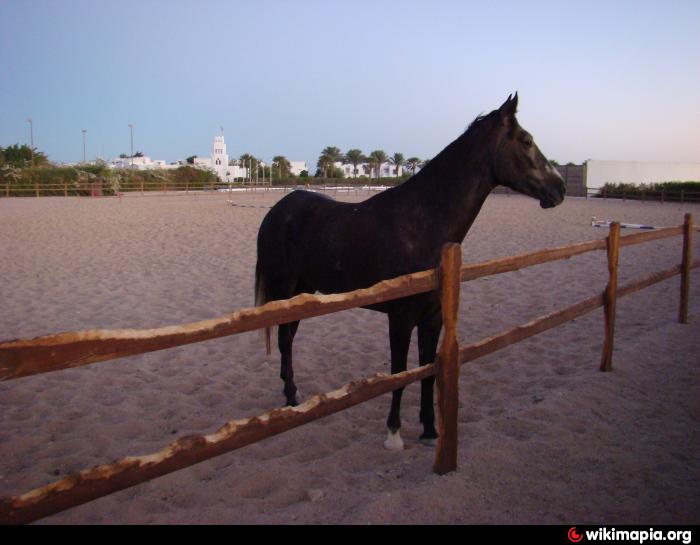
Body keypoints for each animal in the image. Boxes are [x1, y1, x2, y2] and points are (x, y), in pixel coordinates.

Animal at [254, 94, 568, 450]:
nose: (559, 188)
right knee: (284, 339)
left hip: (303, 291)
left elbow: (428, 371)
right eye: (526, 140)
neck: (422, 223)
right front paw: (394, 432)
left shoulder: (433, 318)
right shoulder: (401, 318)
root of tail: (278, 211)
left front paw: (430, 429)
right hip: (285, 290)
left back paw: (293, 397)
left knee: (288, 338)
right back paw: (291, 398)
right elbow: (399, 374)